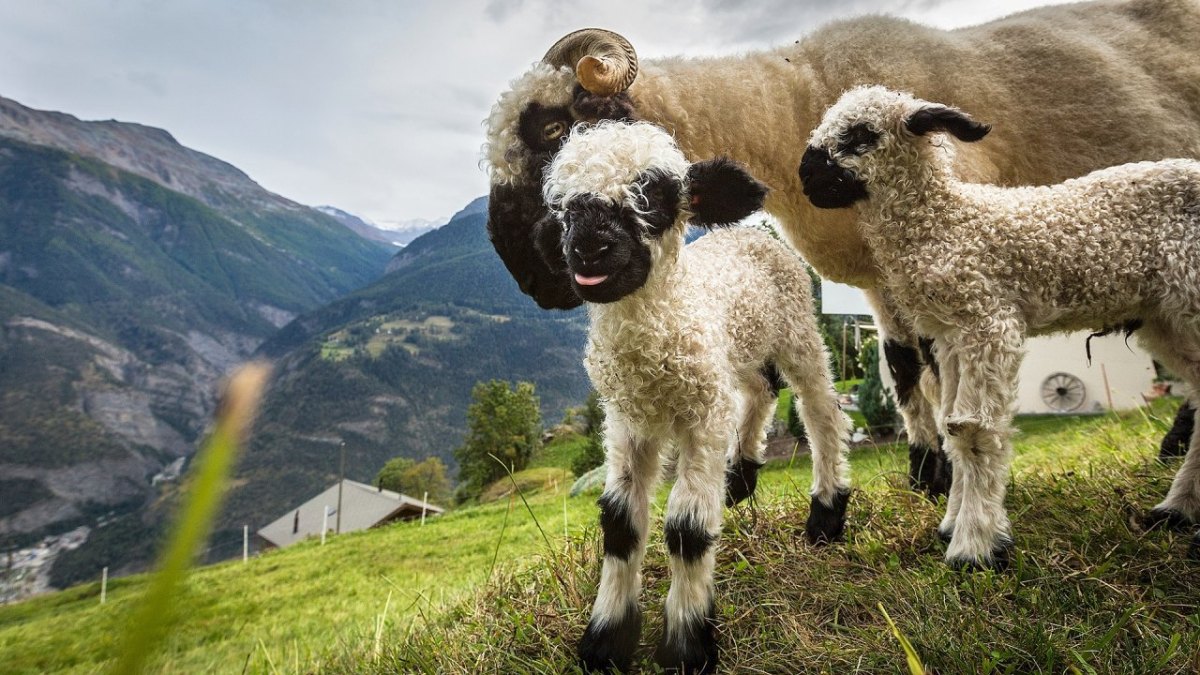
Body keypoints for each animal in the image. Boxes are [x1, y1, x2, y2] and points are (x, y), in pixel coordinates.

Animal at [482, 0, 1200, 499]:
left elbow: (938, 366)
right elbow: (905, 368)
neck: (790, 106)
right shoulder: (880, 275)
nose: (529, 276)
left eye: (552, 126)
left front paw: (952, 471)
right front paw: (926, 470)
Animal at [544, 121, 852, 674]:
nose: (589, 250)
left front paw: (687, 643)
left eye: (653, 197)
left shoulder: (702, 414)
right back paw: (741, 475)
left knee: (820, 410)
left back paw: (826, 511)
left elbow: (686, 530)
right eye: (566, 208)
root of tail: (748, 231)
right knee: (760, 390)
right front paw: (606, 639)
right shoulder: (627, 420)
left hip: (796, 330)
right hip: (736, 350)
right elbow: (620, 524)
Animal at [799, 84, 1200, 570]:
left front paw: (975, 547)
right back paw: (1176, 510)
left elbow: (971, 430)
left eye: (861, 135)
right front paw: (952, 524)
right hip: (1166, 317)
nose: (805, 176)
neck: (950, 223)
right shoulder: (949, 337)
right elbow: (949, 426)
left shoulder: (988, 320)